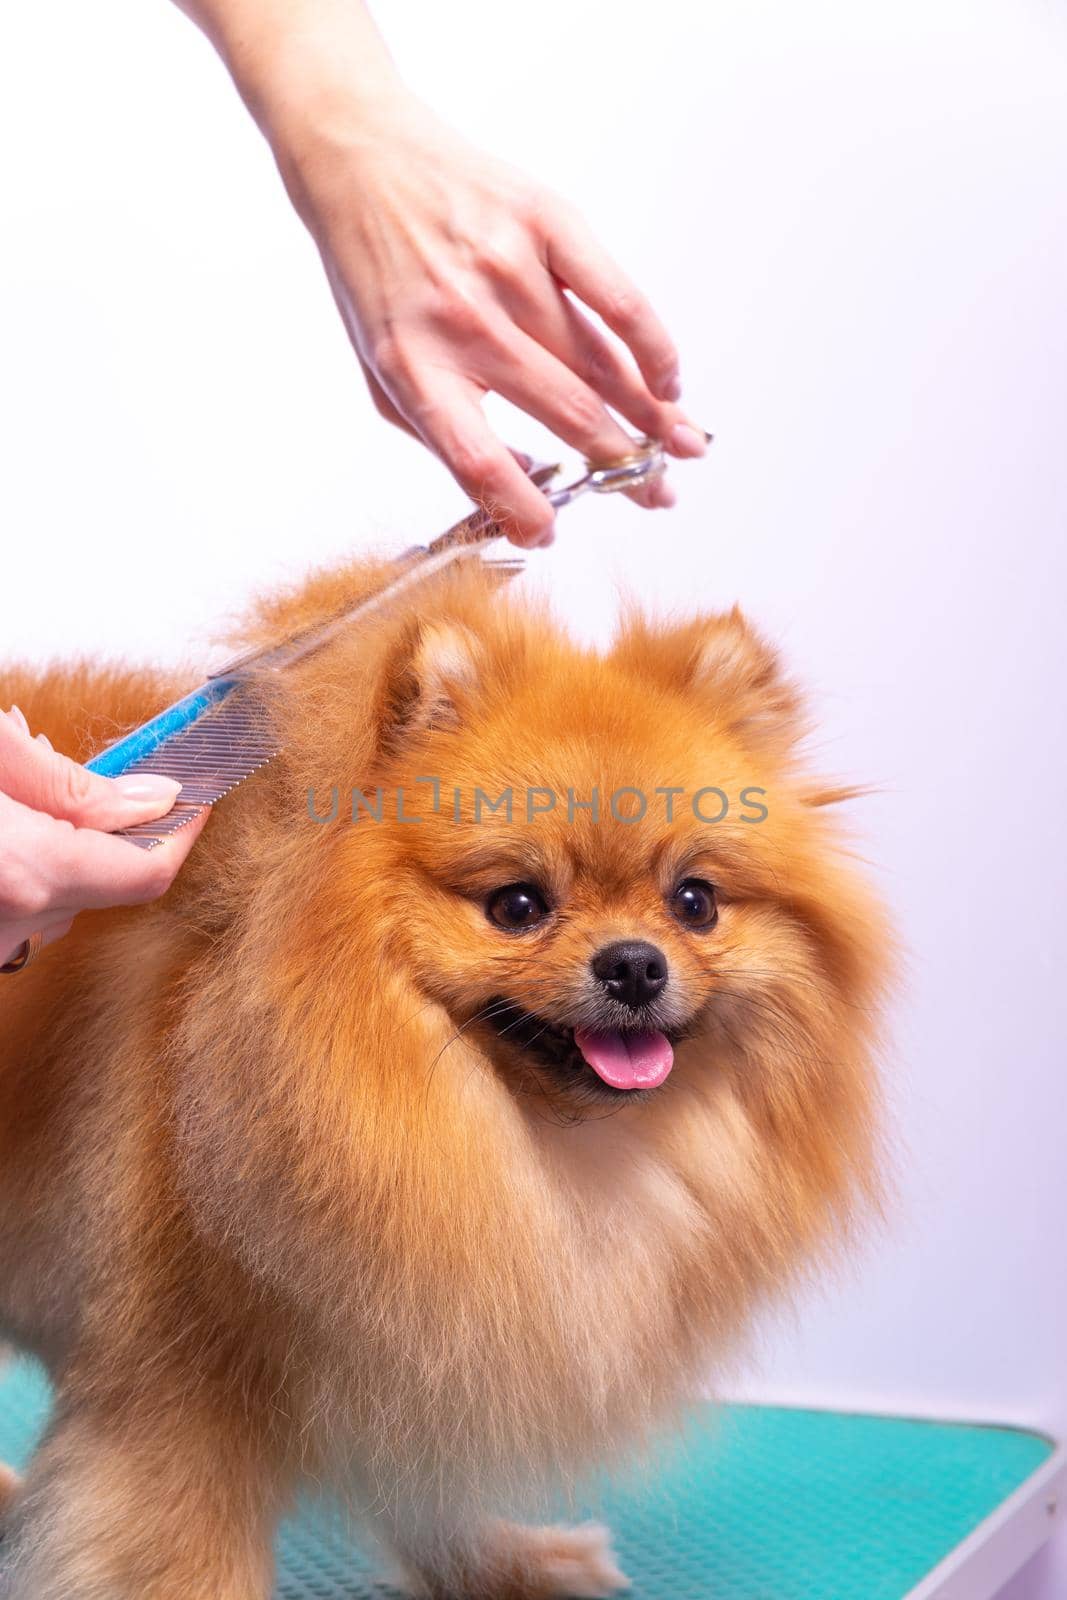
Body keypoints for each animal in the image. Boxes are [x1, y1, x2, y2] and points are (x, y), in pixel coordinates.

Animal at [0, 556, 889, 1593]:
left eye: (694, 902)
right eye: (517, 905)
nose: (634, 964)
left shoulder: (419, 1344)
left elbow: (428, 1491)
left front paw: (504, 1564)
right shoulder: (173, 1389)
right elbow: (178, 1557)